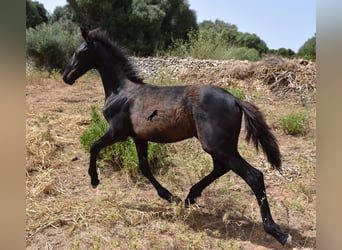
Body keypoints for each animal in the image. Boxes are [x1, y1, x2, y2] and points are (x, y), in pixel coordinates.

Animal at [62, 28, 292, 245]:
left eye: (79, 52)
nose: (66, 76)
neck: (120, 91)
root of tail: (235, 99)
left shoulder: (117, 132)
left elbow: (94, 146)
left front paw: (94, 179)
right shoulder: (138, 137)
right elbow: (144, 167)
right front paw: (171, 197)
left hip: (217, 145)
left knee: (253, 176)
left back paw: (277, 232)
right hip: (217, 145)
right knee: (221, 168)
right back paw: (190, 197)